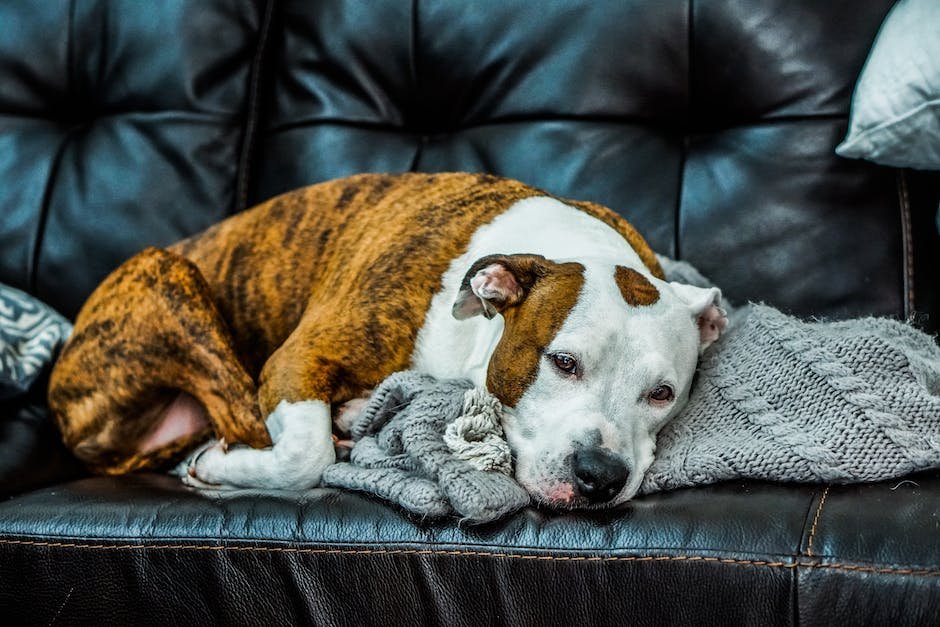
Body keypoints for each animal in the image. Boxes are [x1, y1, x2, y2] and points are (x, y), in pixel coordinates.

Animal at [49, 173, 728, 510]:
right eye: (562, 362)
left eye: (663, 394)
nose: (600, 476)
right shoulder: (298, 358)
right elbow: (304, 456)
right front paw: (227, 466)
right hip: (168, 274)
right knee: (250, 419)